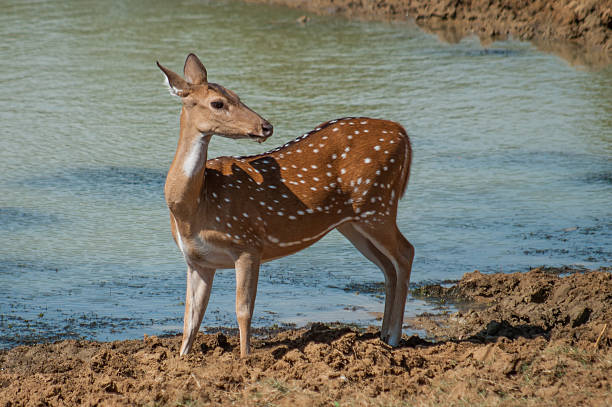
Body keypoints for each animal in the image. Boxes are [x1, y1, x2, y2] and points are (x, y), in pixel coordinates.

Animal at [158, 53, 416, 356]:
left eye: (237, 95)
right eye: (218, 102)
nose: (266, 126)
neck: (195, 207)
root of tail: (402, 133)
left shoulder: (248, 243)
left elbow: (243, 310)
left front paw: (245, 359)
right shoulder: (197, 260)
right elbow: (191, 319)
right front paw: (182, 359)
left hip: (378, 205)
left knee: (405, 253)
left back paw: (394, 337)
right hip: (353, 223)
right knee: (388, 266)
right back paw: (383, 335)